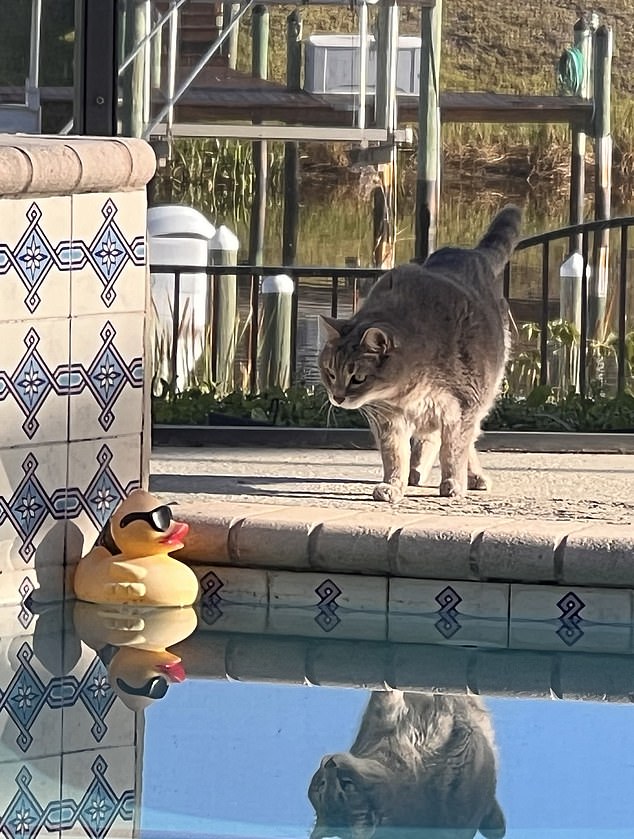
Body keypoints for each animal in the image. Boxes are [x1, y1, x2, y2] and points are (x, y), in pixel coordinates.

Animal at [318, 207, 520, 502]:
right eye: (330, 373)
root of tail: (471, 253)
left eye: (358, 378)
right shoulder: (387, 418)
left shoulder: (464, 405)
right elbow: (394, 454)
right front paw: (393, 483)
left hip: (481, 396)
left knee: (464, 438)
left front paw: (453, 481)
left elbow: (454, 449)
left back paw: (469, 476)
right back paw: (418, 470)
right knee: (432, 438)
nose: (338, 397)